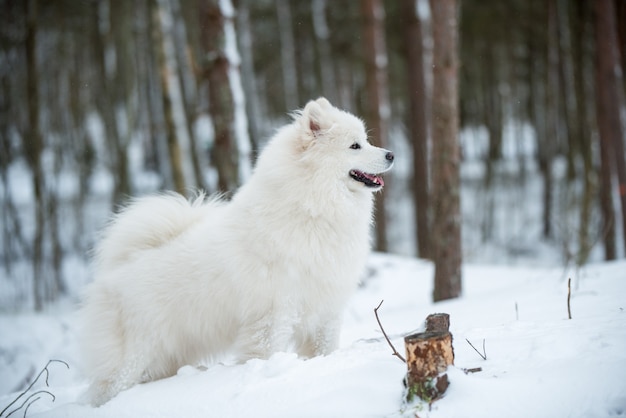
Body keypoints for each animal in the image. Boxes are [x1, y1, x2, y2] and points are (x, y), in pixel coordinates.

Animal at [78, 97, 390, 404]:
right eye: (355, 146)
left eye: (365, 140)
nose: (391, 155)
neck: (312, 208)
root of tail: (118, 268)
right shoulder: (274, 313)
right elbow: (267, 352)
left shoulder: (326, 308)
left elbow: (325, 348)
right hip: (136, 355)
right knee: (109, 387)